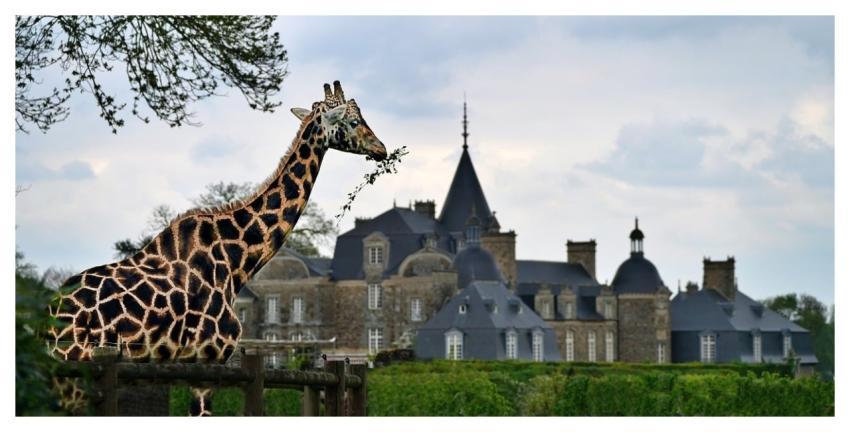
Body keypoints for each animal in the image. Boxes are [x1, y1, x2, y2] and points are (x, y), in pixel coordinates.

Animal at [47, 81, 387, 415]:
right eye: (354, 121)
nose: (381, 148)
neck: (238, 262)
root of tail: (48, 314)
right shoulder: (208, 358)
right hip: (74, 366)